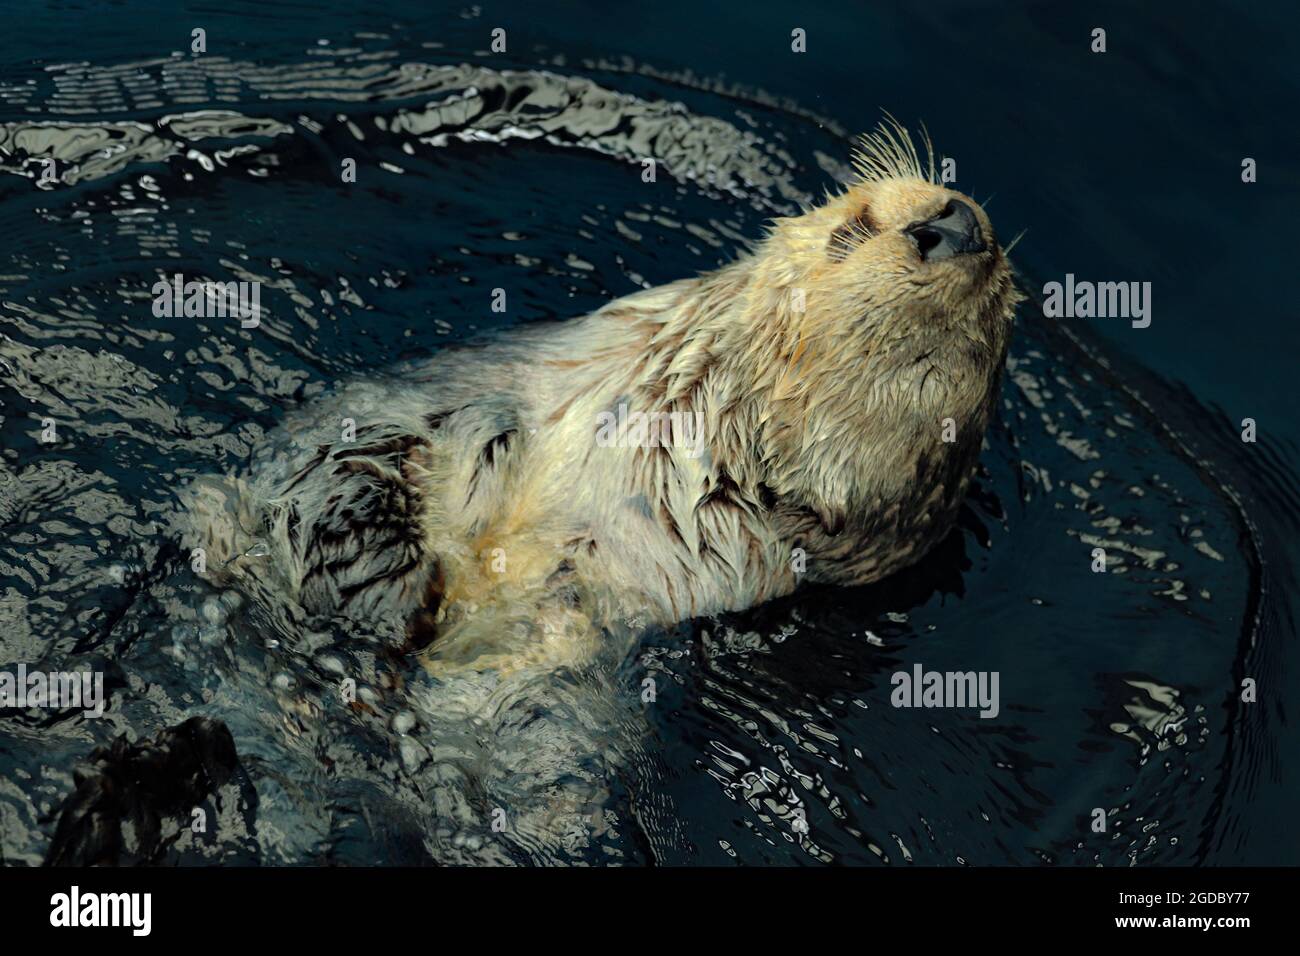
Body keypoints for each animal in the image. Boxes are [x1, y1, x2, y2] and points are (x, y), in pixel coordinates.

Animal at [183, 117, 1019, 671]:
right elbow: (352, 448)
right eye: (851, 231)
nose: (955, 227)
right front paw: (374, 565)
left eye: (946, 366)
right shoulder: (503, 380)